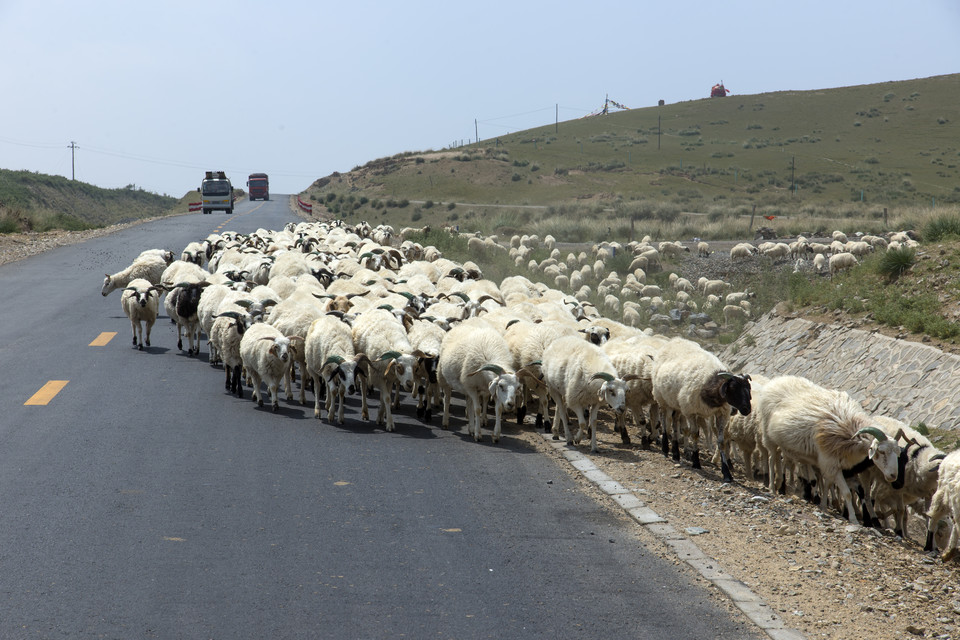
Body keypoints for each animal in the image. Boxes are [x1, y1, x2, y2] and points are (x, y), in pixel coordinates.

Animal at [648, 338, 752, 482]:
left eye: (749, 388)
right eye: (733, 388)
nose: (747, 409)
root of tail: (675, 340)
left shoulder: (721, 413)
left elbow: (721, 442)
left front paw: (726, 473)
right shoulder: (690, 412)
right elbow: (695, 435)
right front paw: (696, 462)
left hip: (677, 403)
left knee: (674, 423)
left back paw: (676, 453)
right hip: (662, 399)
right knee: (665, 422)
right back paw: (665, 449)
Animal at [756, 376, 900, 524]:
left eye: (898, 453)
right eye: (881, 451)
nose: (893, 476)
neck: (851, 432)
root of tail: (777, 379)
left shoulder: (831, 463)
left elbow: (827, 484)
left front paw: (824, 506)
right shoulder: (830, 462)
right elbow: (846, 492)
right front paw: (853, 519)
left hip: (782, 443)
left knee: (779, 458)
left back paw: (779, 483)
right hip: (768, 435)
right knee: (771, 458)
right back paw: (772, 487)